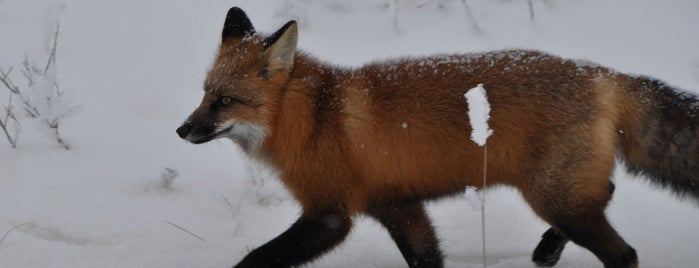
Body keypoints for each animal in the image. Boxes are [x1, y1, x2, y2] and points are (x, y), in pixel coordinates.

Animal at [176, 6, 699, 268]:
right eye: (204, 94)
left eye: (225, 101)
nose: (181, 130)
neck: (315, 119)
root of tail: (600, 72)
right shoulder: (398, 205)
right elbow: (426, 258)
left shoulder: (330, 214)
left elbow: (256, 260)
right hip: (563, 195)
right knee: (606, 192)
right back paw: (547, 250)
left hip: (555, 197)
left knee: (625, 254)